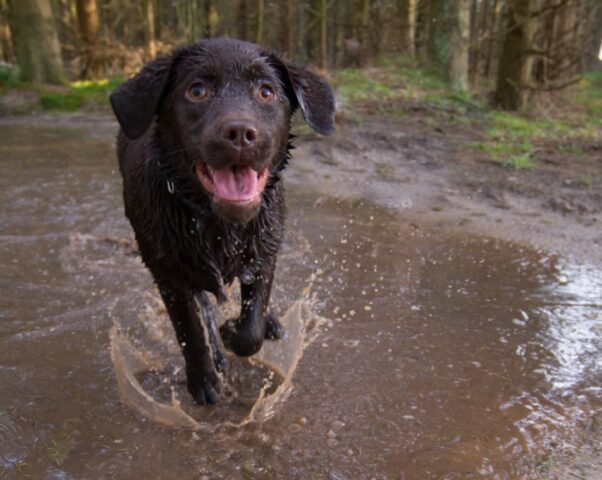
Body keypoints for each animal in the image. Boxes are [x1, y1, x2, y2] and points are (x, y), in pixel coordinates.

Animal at [110, 37, 336, 404]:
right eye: (197, 90)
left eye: (266, 91)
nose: (241, 132)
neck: (218, 225)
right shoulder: (167, 273)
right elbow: (190, 330)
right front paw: (204, 379)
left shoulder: (264, 254)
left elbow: (251, 328)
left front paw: (236, 330)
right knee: (202, 306)